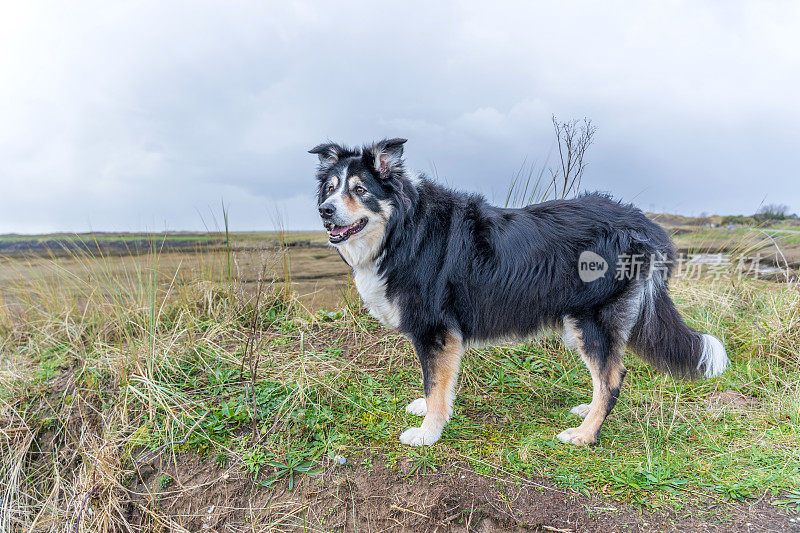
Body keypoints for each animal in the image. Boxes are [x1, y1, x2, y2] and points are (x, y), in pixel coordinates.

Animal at [308, 137, 732, 444]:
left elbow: (435, 383)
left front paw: (428, 433)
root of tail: (644, 223)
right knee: (606, 376)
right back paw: (587, 411)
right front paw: (429, 412)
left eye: (360, 190)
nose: (325, 211)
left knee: (612, 379)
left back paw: (585, 435)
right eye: (330, 188)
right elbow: (440, 385)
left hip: (590, 318)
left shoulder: (435, 330)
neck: (403, 228)